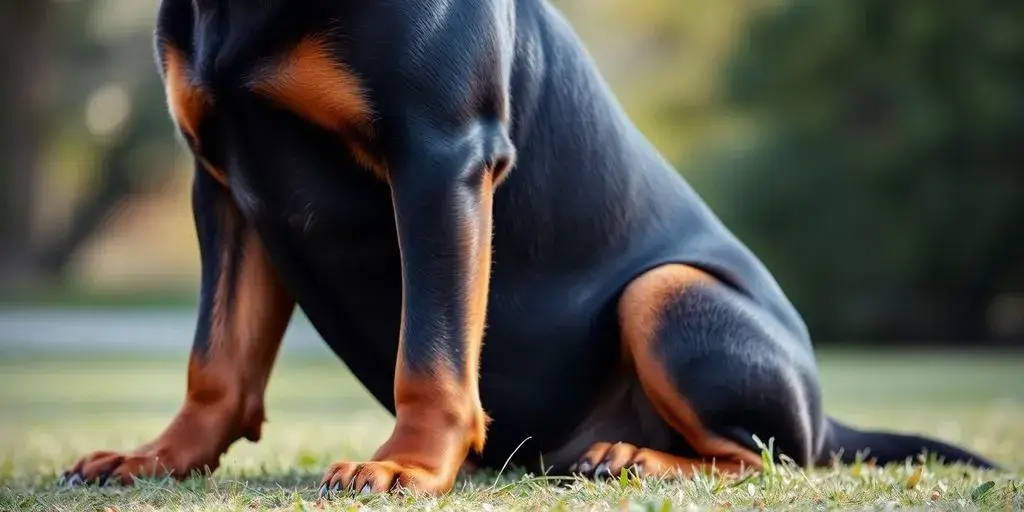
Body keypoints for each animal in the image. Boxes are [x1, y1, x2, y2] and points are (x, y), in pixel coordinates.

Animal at [59, 0, 995, 495]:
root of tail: (826, 410)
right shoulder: (221, 183)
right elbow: (216, 361)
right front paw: (155, 458)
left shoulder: (441, 156)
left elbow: (432, 353)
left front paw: (406, 467)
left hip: (667, 292)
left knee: (768, 457)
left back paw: (636, 457)